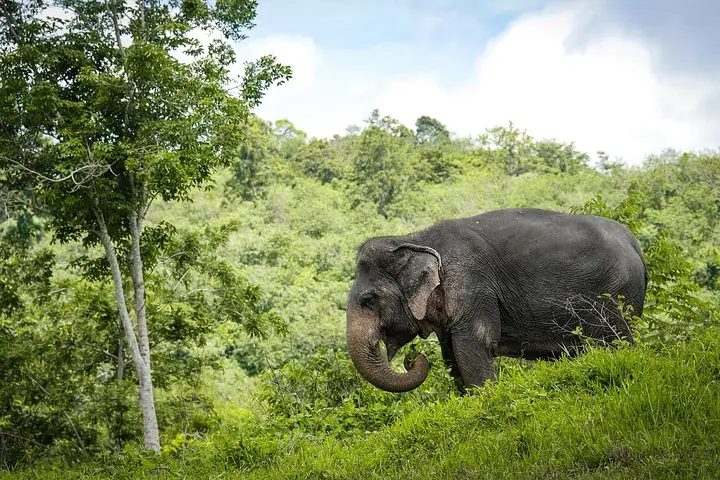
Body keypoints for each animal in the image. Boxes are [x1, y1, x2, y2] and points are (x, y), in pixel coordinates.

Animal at [345, 208, 648, 393]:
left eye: (368, 300)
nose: (412, 359)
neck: (415, 238)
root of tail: (635, 243)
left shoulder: (473, 285)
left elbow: (473, 347)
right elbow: (451, 355)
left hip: (615, 295)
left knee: (617, 342)